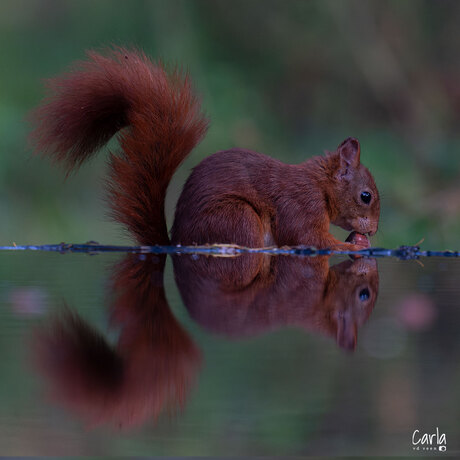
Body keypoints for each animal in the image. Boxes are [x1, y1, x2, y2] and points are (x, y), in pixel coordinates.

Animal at [30, 47, 380, 248]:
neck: (319, 185)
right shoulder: (301, 206)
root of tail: (175, 243)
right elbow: (311, 239)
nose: (375, 231)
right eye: (366, 196)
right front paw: (352, 246)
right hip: (237, 217)